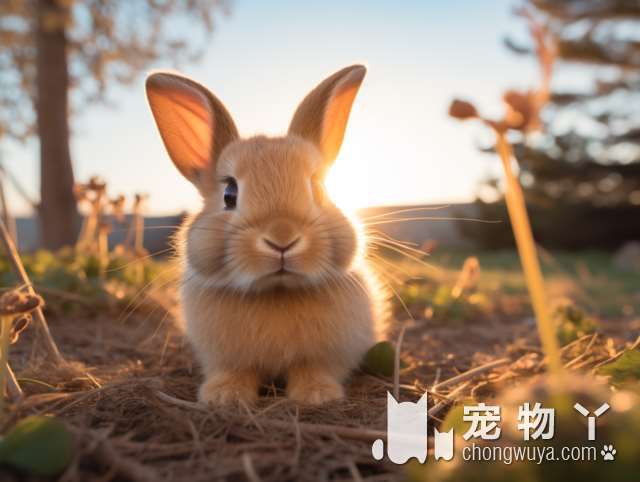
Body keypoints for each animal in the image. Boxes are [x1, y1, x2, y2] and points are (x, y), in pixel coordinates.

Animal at [145, 63, 388, 402]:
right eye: (229, 194)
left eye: (318, 188)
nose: (282, 238)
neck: (276, 292)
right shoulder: (227, 359)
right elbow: (235, 372)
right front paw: (225, 396)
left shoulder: (325, 356)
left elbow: (313, 369)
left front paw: (317, 394)